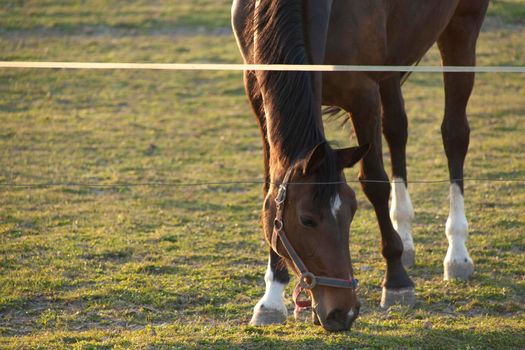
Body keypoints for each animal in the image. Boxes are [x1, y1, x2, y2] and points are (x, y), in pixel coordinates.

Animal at [231, 0, 490, 330]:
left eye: (353, 212)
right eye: (306, 220)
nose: (343, 313)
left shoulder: (363, 97)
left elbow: (375, 183)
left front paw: (396, 281)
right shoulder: (258, 96)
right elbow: (271, 188)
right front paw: (273, 297)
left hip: (463, 27)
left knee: (454, 135)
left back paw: (456, 252)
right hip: (391, 66)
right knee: (397, 128)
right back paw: (405, 237)